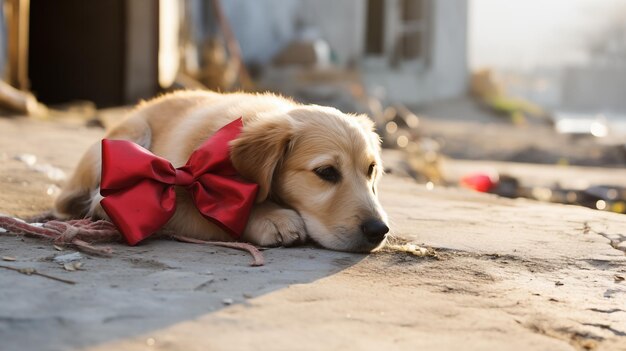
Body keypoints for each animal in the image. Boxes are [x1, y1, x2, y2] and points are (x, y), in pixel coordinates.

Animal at [53, 91, 388, 253]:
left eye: (370, 170)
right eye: (326, 172)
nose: (378, 230)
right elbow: (217, 215)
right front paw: (271, 217)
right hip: (130, 136)